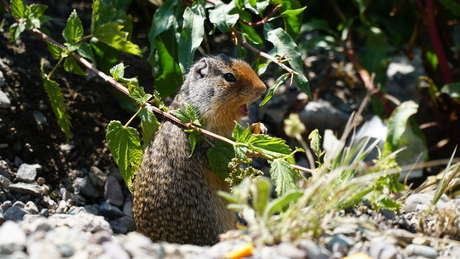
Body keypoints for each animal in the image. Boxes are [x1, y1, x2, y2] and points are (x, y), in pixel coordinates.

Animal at [132, 54, 266, 246]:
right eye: (229, 77)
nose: (262, 89)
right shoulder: (215, 146)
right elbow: (235, 153)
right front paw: (254, 145)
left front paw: (260, 128)